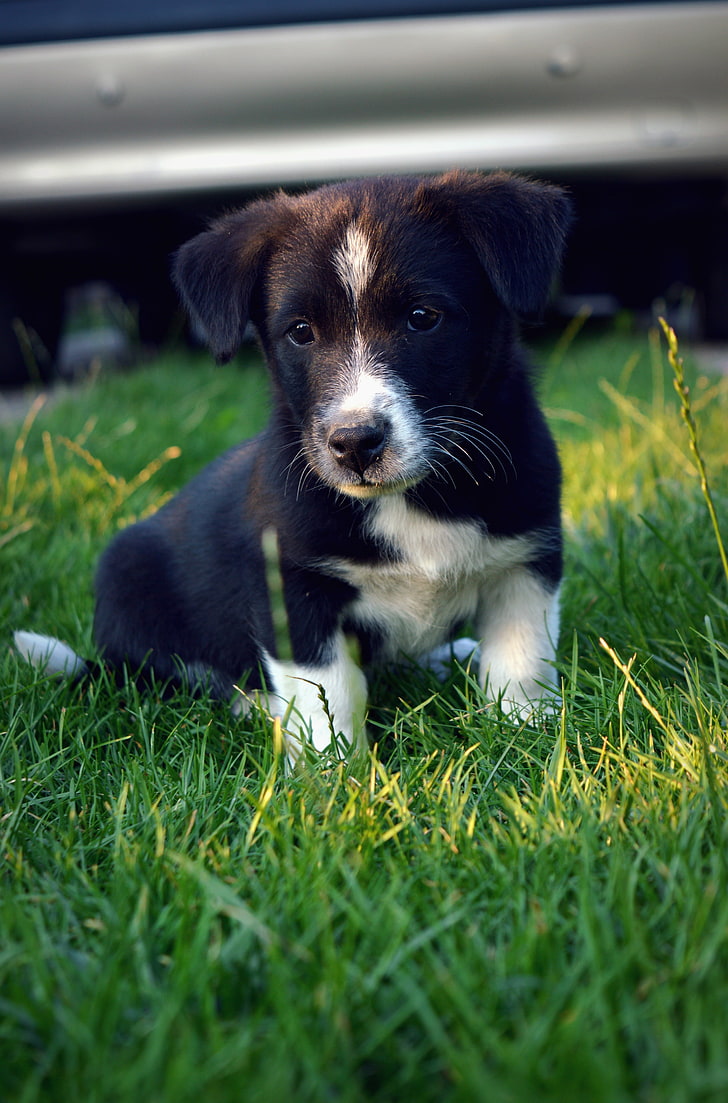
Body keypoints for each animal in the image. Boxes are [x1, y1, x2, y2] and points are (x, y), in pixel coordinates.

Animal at [15, 172, 569, 763]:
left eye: (423, 318)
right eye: (301, 331)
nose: (354, 443)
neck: (412, 499)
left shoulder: (525, 560)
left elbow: (521, 660)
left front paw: (526, 733)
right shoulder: (291, 584)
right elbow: (328, 691)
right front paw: (337, 771)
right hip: (129, 580)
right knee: (181, 678)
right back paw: (259, 705)